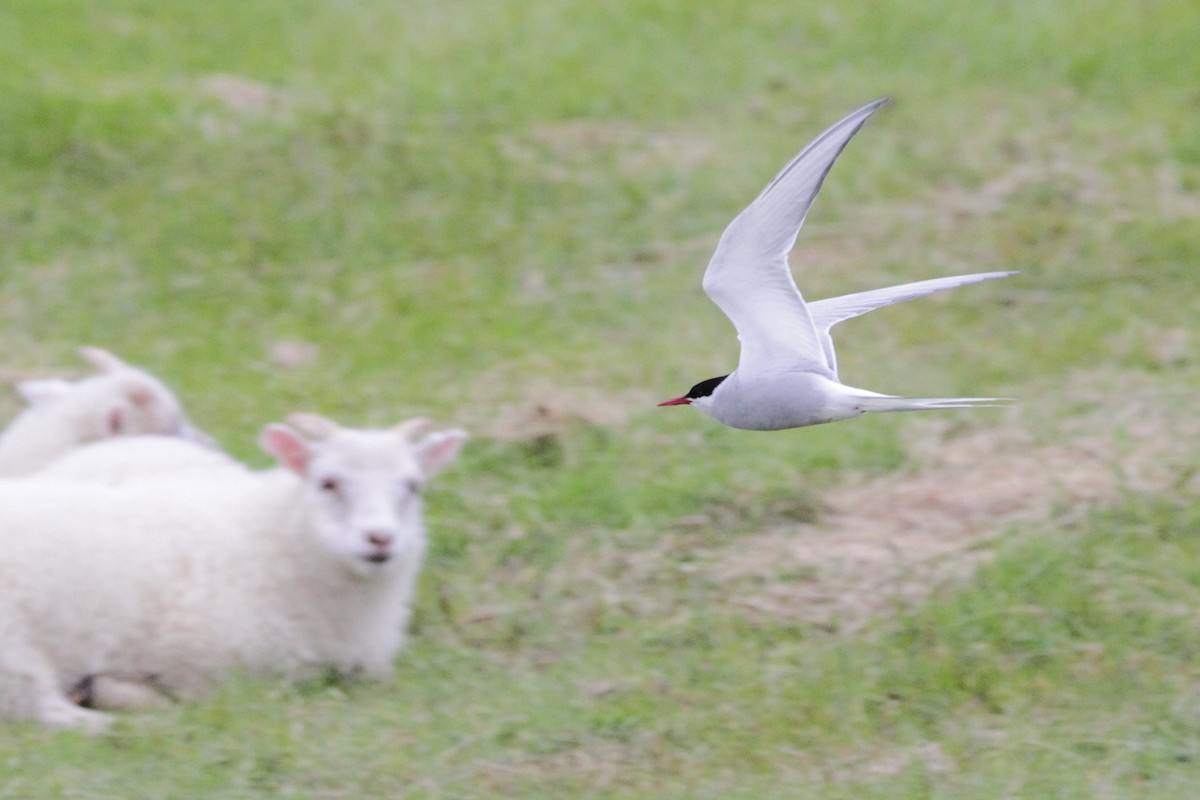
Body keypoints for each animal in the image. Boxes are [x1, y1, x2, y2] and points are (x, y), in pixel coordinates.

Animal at [0, 412, 463, 734]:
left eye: (413, 486)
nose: (380, 539)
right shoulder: (209, 664)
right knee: (46, 711)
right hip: (14, 650)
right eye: (327, 482)